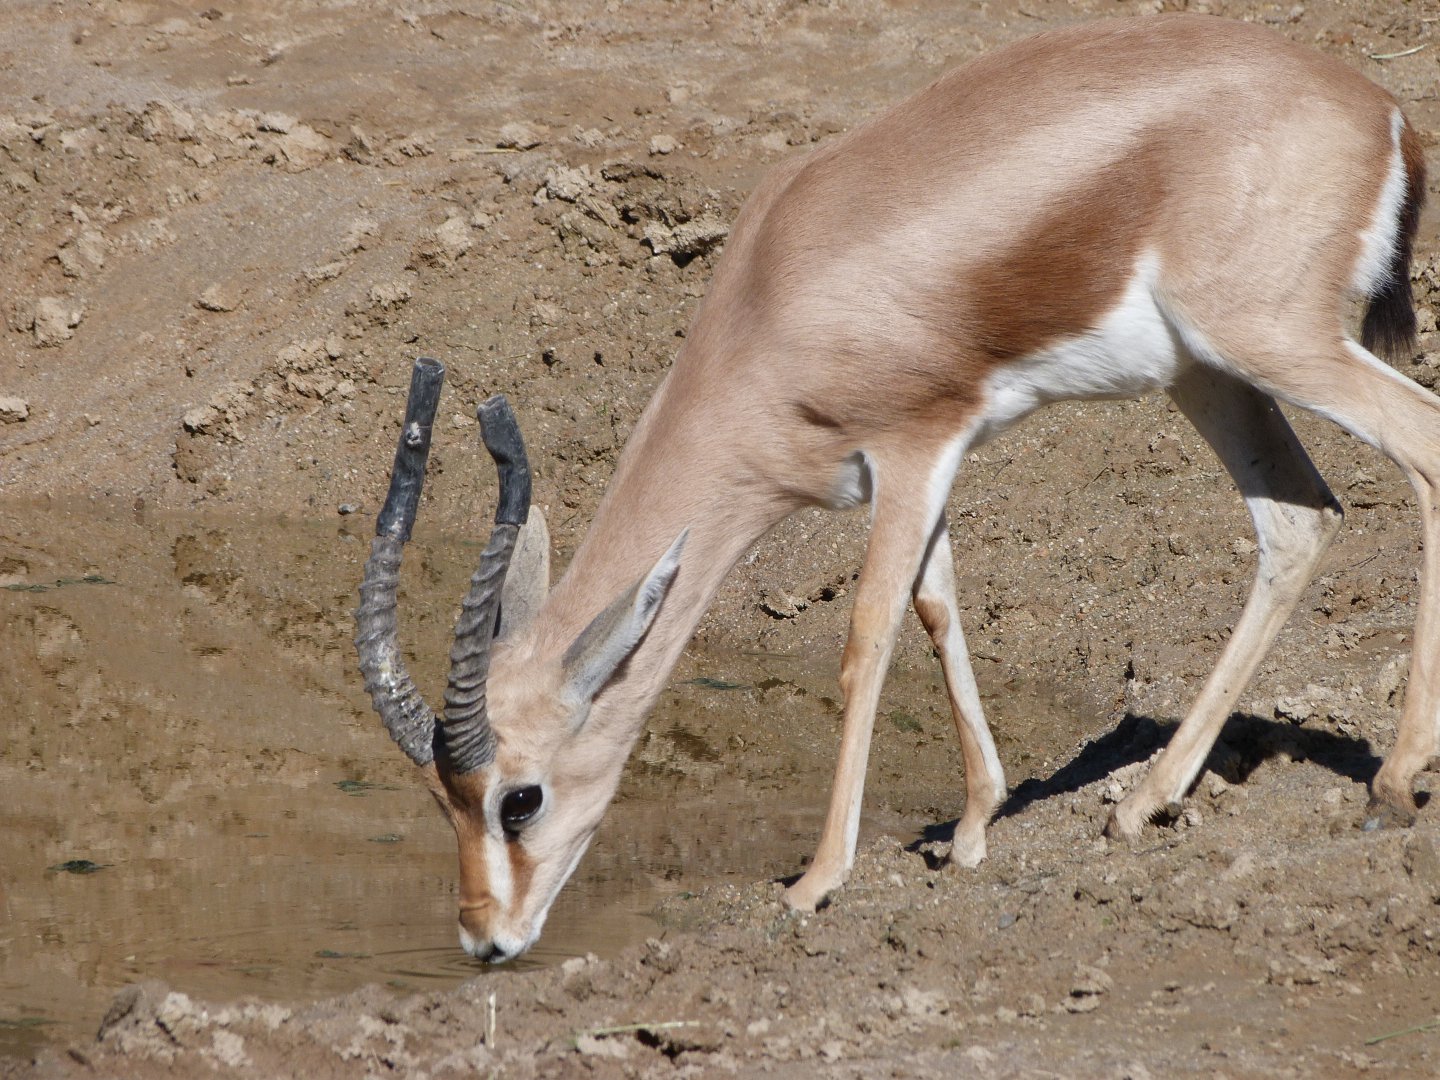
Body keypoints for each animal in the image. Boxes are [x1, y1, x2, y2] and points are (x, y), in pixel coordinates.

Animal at [356, 14, 1431, 961]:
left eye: (519, 797)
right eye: (442, 800)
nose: (485, 940)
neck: (771, 300)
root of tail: (1381, 108)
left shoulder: (914, 443)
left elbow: (868, 633)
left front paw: (817, 880)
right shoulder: (916, 470)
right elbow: (935, 603)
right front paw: (974, 827)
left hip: (1269, 343)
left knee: (1420, 443)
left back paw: (1394, 781)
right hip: (1206, 373)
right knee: (1298, 519)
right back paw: (1145, 799)